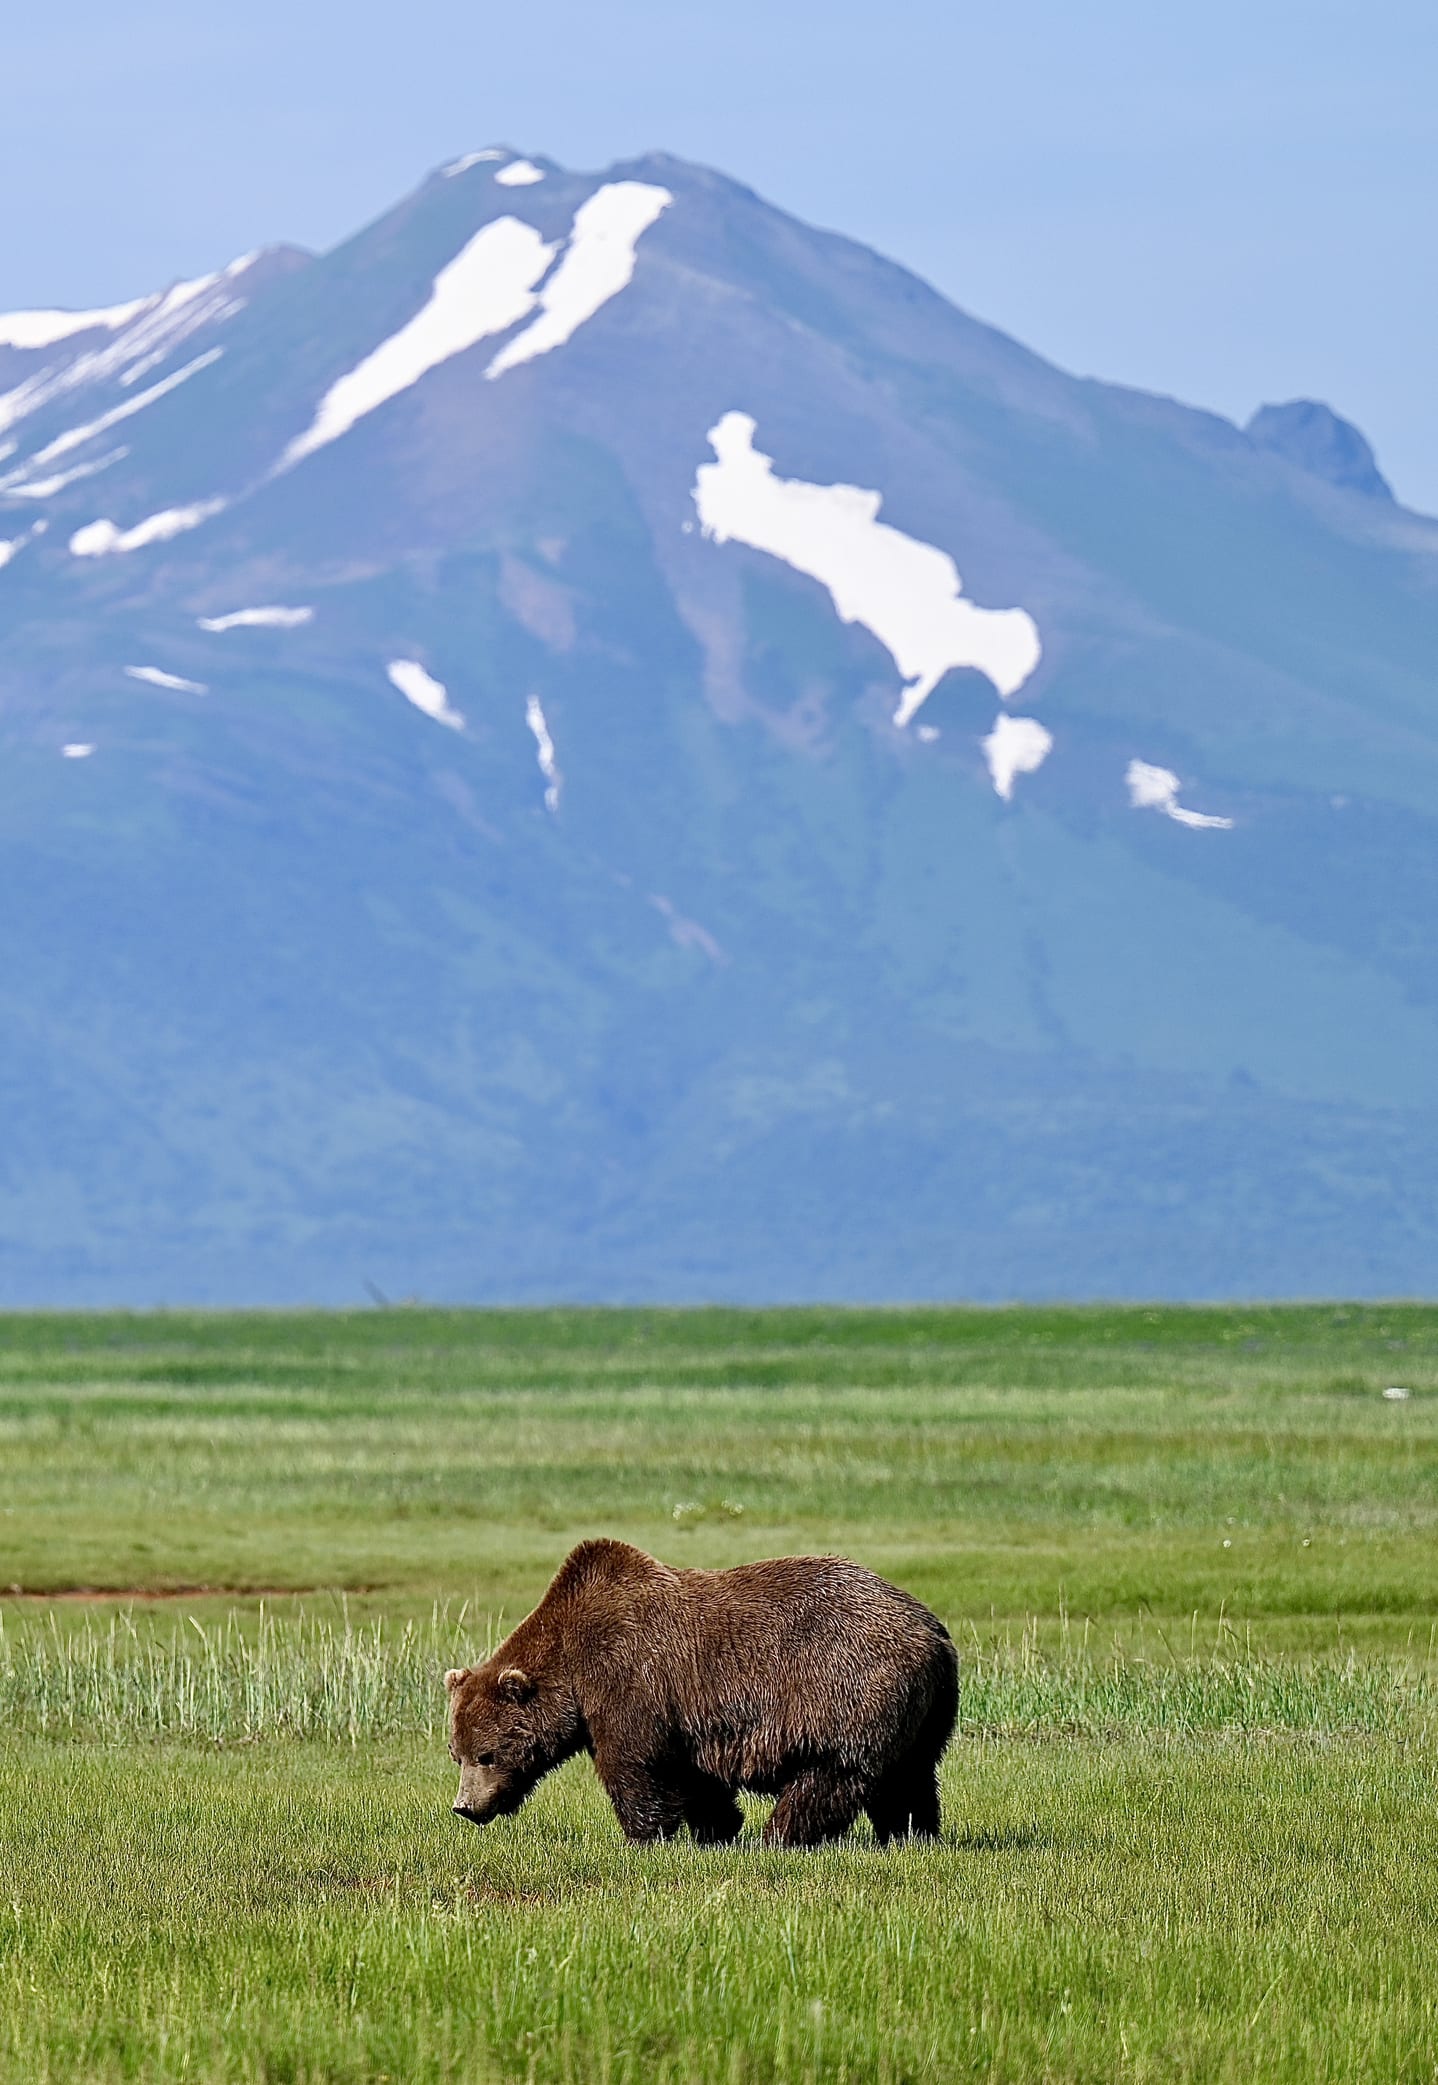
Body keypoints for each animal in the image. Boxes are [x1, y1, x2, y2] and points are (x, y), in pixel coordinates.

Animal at [445, 1538, 958, 1848]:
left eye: (487, 1755)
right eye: (456, 1753)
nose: (465, 1808)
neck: (572, 1670)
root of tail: (932, 1630)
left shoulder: (627, 1682)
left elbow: (634, 1765)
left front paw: (644, 1836)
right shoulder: (683, 1719)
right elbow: (692, 1777)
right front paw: (717, 1828)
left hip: (845, 1688)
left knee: (833, 1773)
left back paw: (782, 1835)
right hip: (926, 1708)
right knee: (911, 1774)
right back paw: (911, 1833)